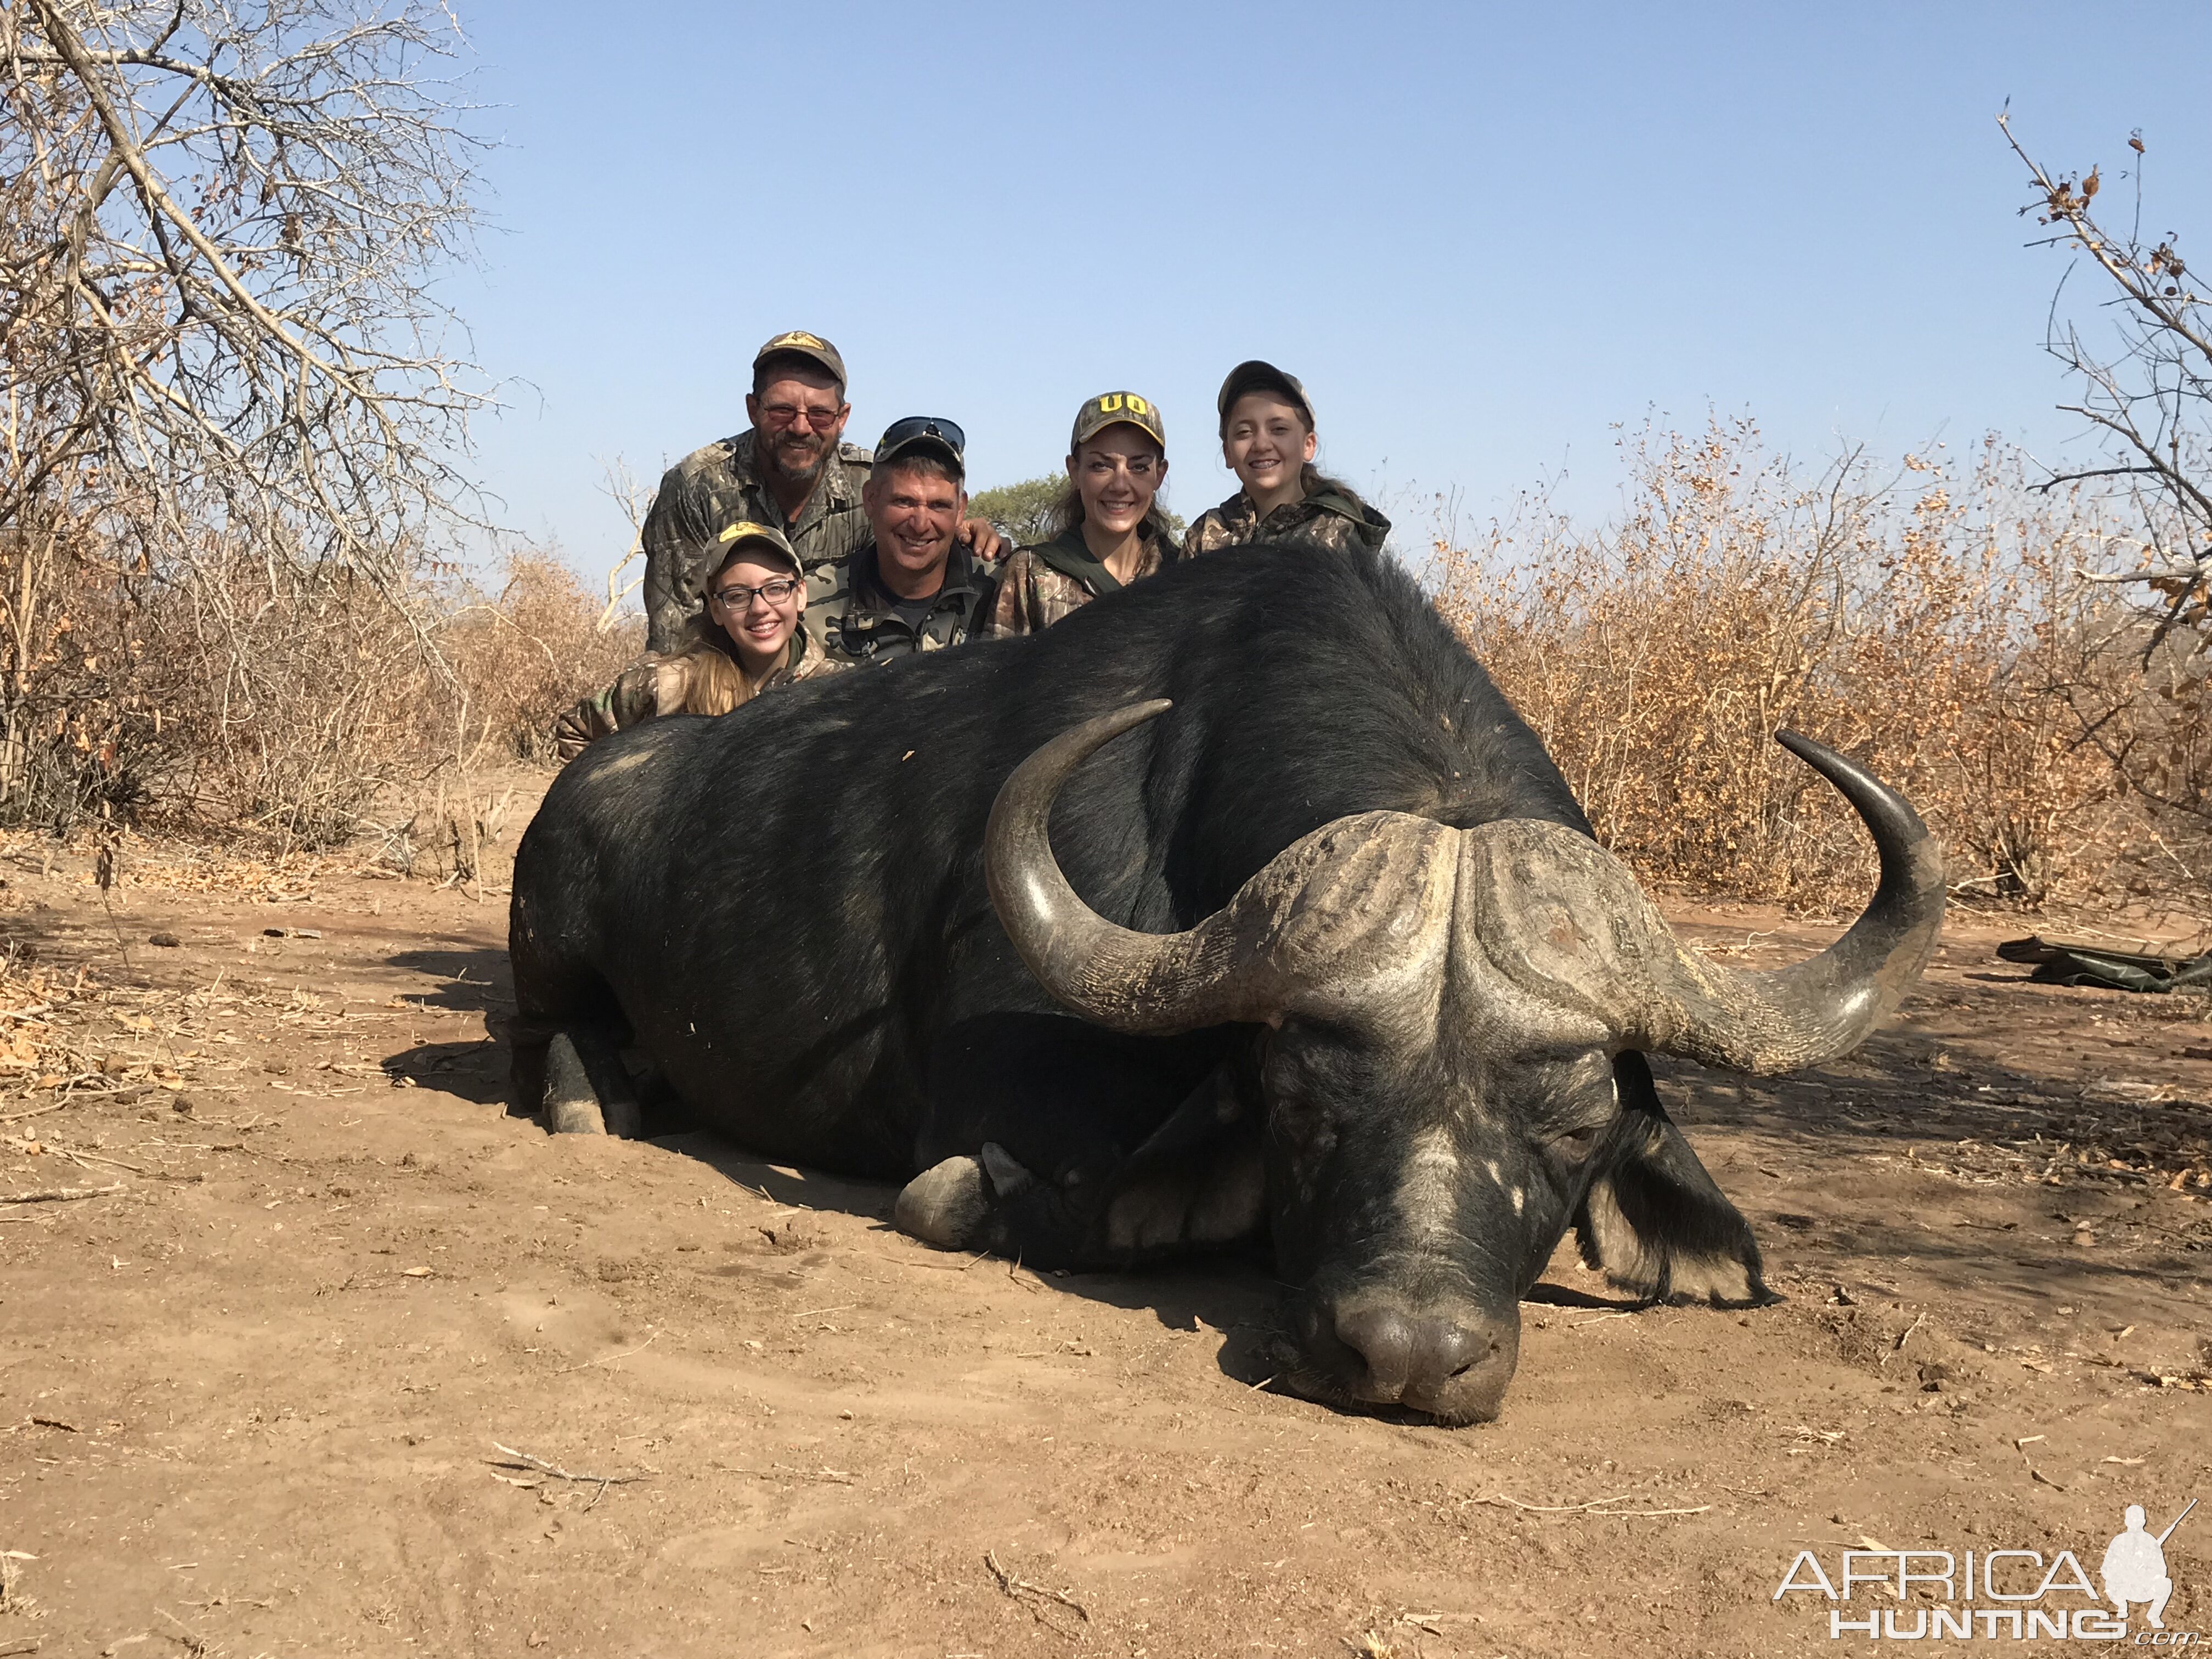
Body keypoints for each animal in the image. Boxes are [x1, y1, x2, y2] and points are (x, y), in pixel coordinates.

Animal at [506, 546, 1938, 1433]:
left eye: (1577, 1129)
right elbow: (994, 1196)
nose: (1406, 1356)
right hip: (550, 927)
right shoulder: (981, 1129)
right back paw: (593, 1101)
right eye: (1301, 1102)